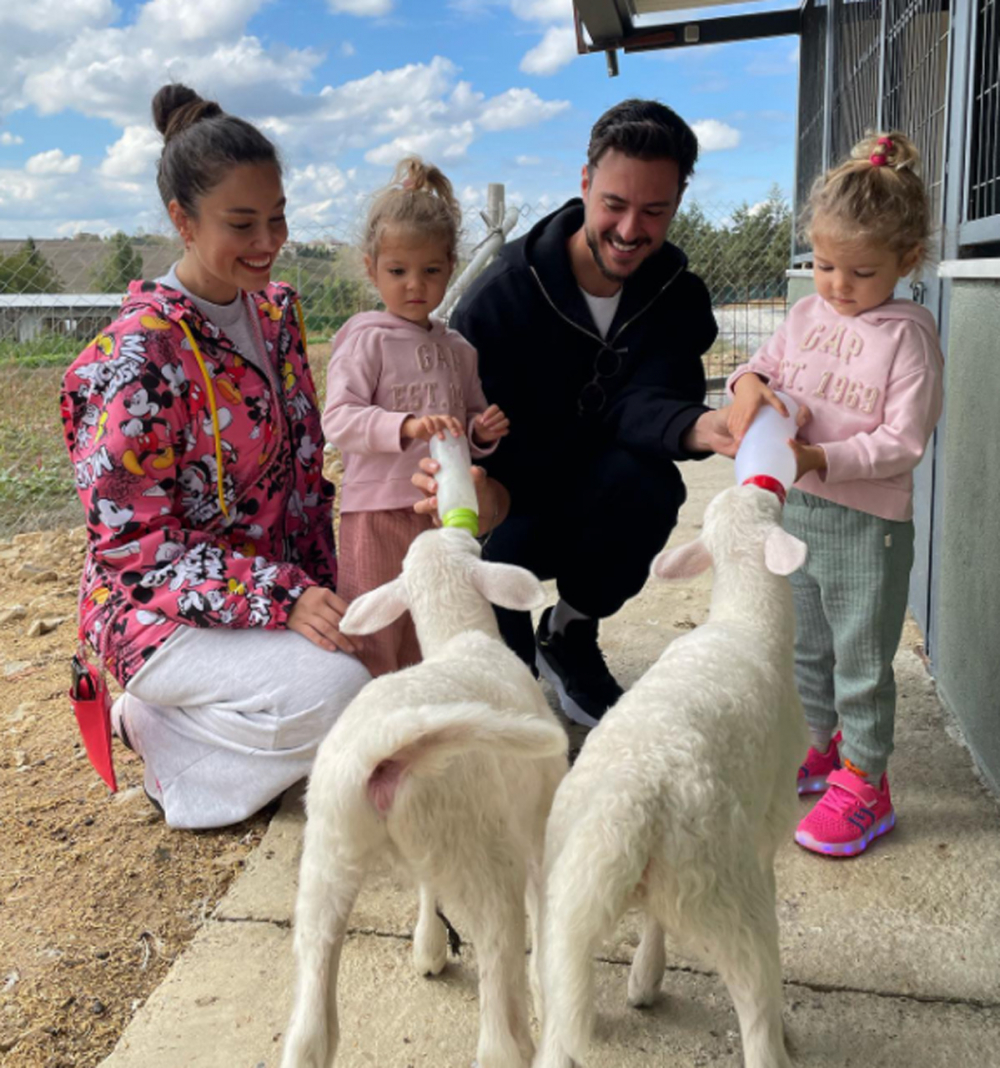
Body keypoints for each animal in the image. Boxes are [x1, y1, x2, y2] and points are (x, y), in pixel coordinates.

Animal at [282, 525, 568, 1068]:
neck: (459, 635)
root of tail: (386, 750)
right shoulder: (536, 820)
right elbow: (544, 904)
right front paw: (546, 988)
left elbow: (426, 888)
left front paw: (428, 949)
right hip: (481, 857)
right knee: (498, 1039)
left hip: (329, 858)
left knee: (309, 1035)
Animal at [534, 487, 807, 1068]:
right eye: (771, 508)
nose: (769, 485)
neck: (747, 619)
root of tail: (625, 809)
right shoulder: (768, 821)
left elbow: (656, 918)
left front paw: (644, 979)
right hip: (726, 887)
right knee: (756, 1004)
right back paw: (776, 1033)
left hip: (562, 901)